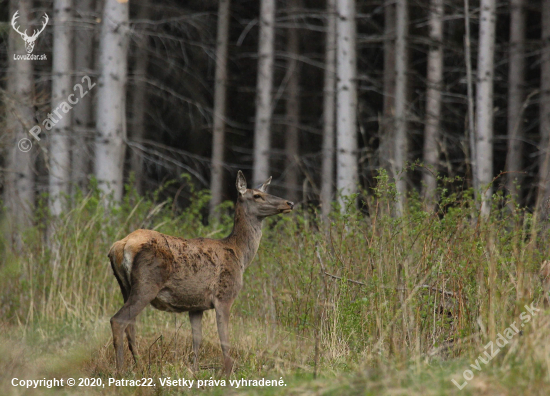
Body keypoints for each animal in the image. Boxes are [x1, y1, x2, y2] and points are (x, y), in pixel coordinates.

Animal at [109, 171, 296, 374]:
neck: (239, 255)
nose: (289, 203)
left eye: (264, 192)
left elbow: (197, 339)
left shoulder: (196, 305)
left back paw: (139, 366)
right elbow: (224, 340)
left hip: (125, 287)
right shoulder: (224, 296)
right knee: (118, 320)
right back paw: (122, 371)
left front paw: (194, 370)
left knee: (130, 325)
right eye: (256, 195)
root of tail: (121, 245)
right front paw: (227, 371)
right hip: (147, 284)